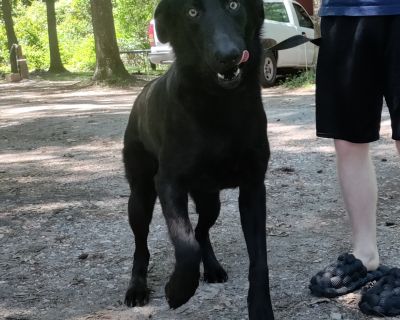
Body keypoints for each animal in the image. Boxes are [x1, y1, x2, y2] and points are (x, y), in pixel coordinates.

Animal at [122, 0, 272, 318]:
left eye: (234, 4)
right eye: (191, 12)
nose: (228, 56)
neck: (221, 106)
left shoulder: (253, 189)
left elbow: (259, 259)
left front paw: (261, 307)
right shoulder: (169, 184)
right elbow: (185, 243)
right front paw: (178, 289)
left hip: (210, 200)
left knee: (202, 231)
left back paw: (212, 267)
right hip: (140, 197)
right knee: (142, 245)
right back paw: (137, 286)